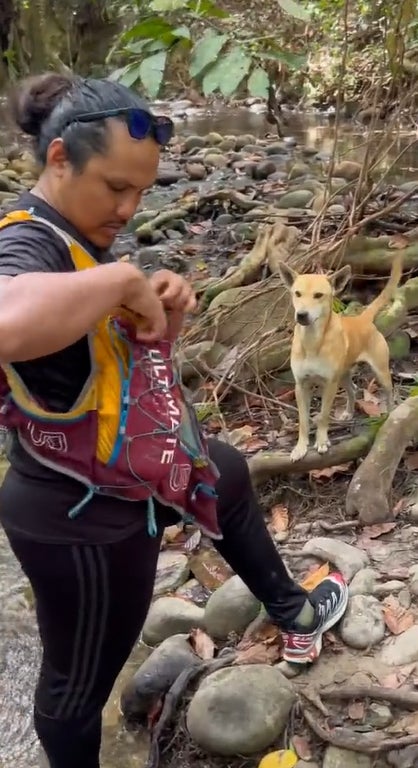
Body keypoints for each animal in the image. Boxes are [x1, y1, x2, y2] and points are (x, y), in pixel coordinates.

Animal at [280, 256, 404, 462]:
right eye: (297, 293)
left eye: (318, 295)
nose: (302, 315)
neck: (312, 342)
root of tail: (362, 319)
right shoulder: (301, 385)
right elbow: (303, 420)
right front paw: (300, 447)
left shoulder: (330, 384)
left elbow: (323, 415)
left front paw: (322, 441)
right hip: (344, 374)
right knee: (352, 390)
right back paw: (348, 412)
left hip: (380, 372)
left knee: (389, 391)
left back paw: (390, 413)